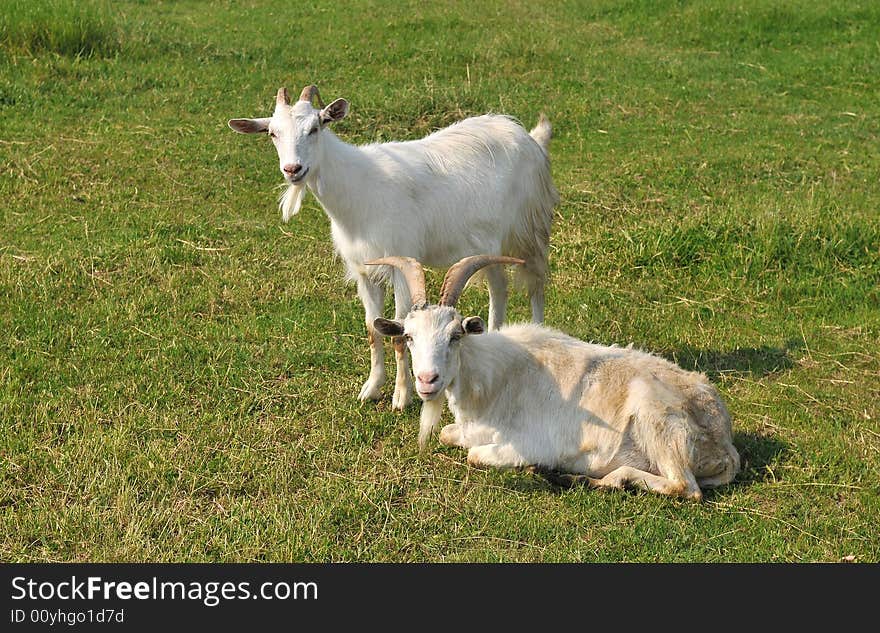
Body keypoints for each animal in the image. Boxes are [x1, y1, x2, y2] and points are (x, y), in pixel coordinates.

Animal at [227, 84, 556, 410]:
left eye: (315, 127)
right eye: (272, 133)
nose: (292, 169)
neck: (359, 189)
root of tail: (525, 134)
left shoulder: (400, 264)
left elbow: (398, 332)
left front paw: (401, 396)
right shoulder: (363, 271)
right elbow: (373, 329)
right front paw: (371, 388)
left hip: (529, 228)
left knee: (536, 286)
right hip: (490, 244)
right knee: (498, 288)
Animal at [368, 254, 740, 502]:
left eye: (455, 336)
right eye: (409, 336)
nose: (427, 380)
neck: (496, 380)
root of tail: (725, 443)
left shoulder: (530, 442)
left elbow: (475, 455)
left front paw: (532, 466)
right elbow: (447, 433)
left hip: (658, 422)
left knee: (685, 487)